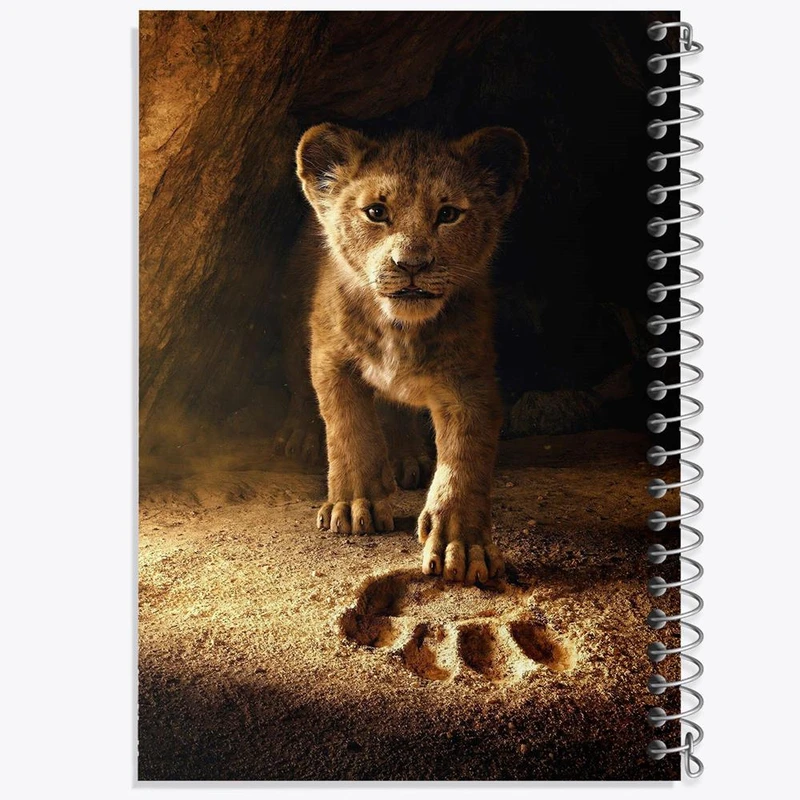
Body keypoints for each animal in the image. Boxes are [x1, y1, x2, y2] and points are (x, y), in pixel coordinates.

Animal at [285, 123, 528, 584]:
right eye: (376, 212)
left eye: (448, 214)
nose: (411, 264)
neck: (400, 328)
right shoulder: (330, 358)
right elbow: (349, 428)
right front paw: (354, 504)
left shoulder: (469, 381)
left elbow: (465, 458)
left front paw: (461, 544)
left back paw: (406, 457)